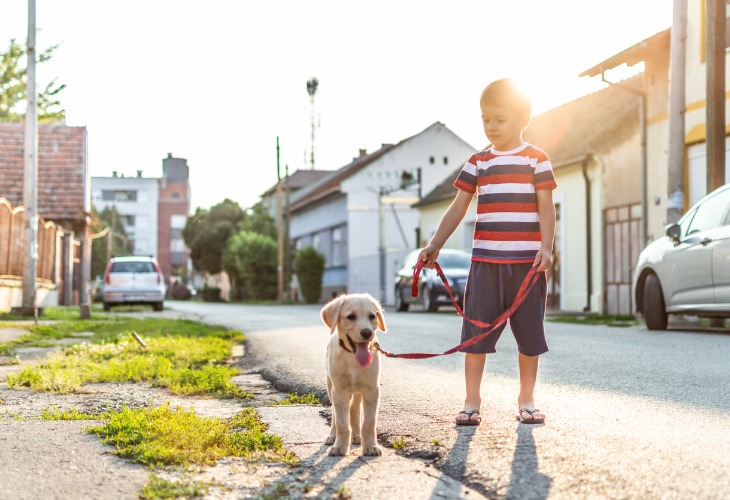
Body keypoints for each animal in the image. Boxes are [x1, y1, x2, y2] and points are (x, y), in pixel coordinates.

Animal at [320, 292, 386, 458]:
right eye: (351, 317)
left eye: (372, 316)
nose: (367, 332)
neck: (353, 358)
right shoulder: (339, 390)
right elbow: (342, 422)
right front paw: (340, 446)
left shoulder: (372, 390)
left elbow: (369, 422)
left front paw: (370, 446)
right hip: (331, 388)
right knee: (335, 413)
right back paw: (332, 436)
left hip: (357, 392)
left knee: (355, 409)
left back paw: (356, 435)